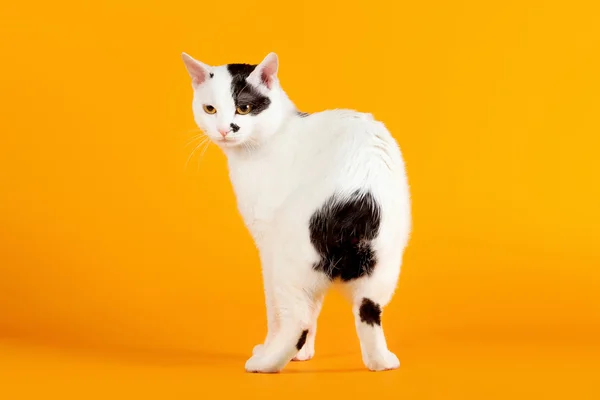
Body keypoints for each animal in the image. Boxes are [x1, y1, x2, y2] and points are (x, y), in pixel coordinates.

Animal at [180, 51, 410, 374]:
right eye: (209, 109)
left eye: (244, 107)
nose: (224, 129)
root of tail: (357, 200)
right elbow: (315, 309)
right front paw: (304, 355)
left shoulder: (266, 242)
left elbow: (276, 311)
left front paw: (273, 346)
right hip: (384, 262)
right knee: (367, 310)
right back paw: (381, 362)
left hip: (287, 259)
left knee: (297, 320)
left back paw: (265, 363)